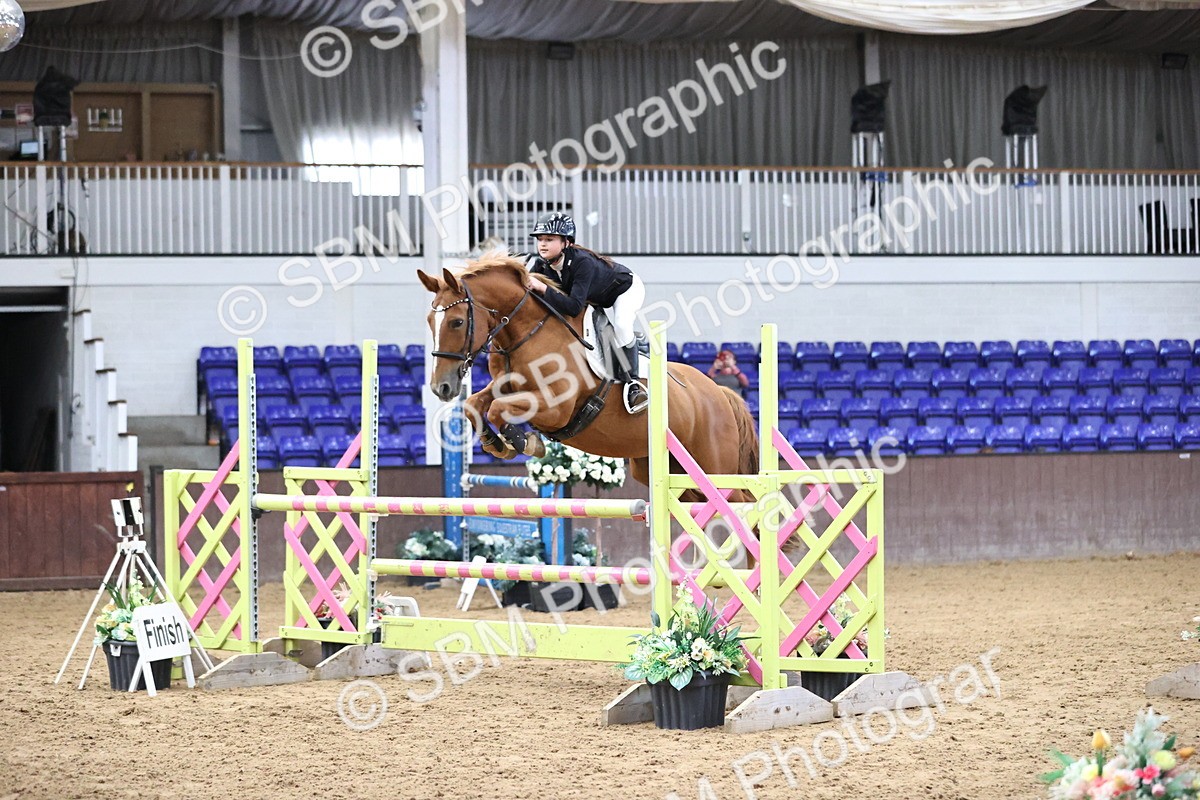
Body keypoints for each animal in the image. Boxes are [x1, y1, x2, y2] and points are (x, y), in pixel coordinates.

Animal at [416, 254, 759, 499]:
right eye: (430, 321)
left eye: (458, 322)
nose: (441, 387)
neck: (527, 333)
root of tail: (719, 393)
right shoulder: (505, 387)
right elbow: (476, 404)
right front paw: (496, 443)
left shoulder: (556, 408)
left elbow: (499, 409)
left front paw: (525, 443)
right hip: (673, 476)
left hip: (715, 469)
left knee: (744, 508)